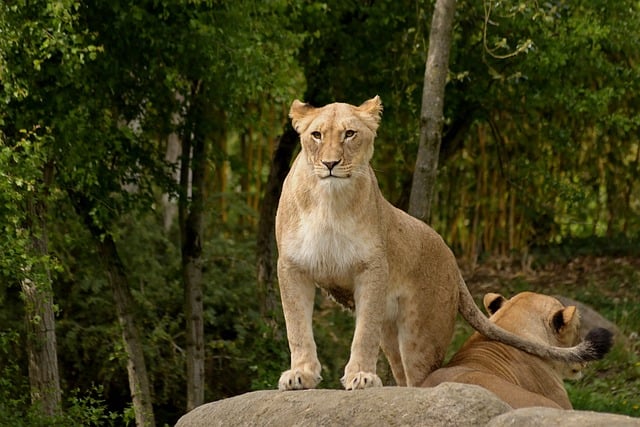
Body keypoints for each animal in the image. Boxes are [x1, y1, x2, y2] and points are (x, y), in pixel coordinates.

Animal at [275, 96, 613, 391]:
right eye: (316, 135)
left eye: (349, 134)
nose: (331, 163)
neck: (329, 203)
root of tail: (450, 255)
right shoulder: (292, 267)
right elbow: (296, 327)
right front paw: (301, 375)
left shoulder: (372, 267)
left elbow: (364, 332)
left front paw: (361, 376)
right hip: (392, 337)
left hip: (419, 337)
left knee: (420, 376)